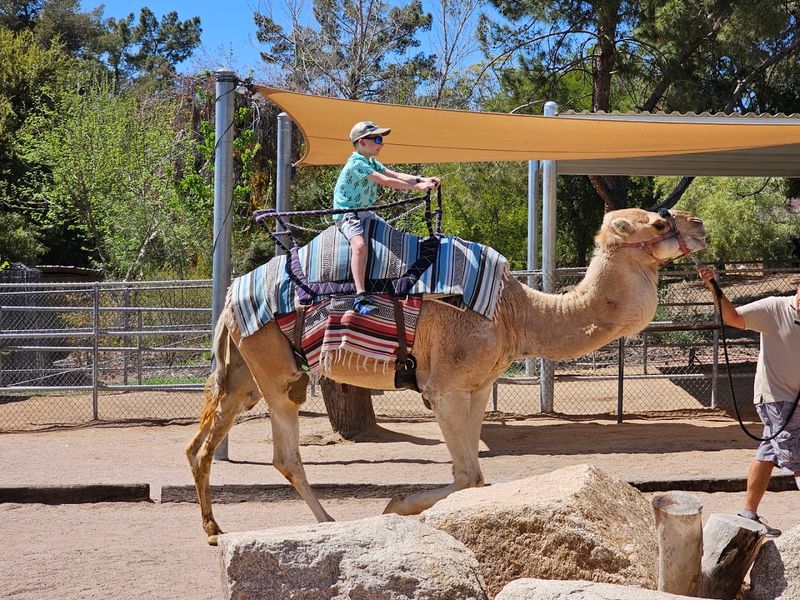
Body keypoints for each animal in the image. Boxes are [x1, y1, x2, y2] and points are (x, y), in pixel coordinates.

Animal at [186, 207, 706, 544]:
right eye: (659, 222)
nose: (699, 225)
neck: (516, 312)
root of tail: (231, 297)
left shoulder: (477, 388)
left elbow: (475, 476)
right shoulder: (445, 388)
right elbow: (467, 474)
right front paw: (394, 507)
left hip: (245, 373)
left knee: (203, 440)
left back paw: (213, 530)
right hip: (273, 368)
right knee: (285, 453)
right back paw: (327, 521)